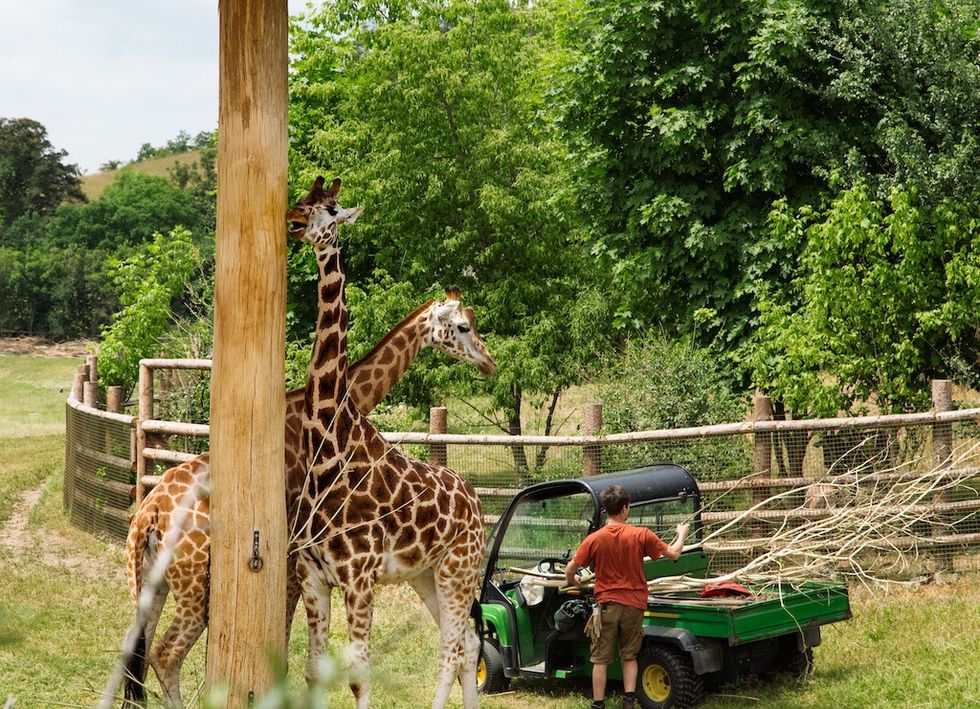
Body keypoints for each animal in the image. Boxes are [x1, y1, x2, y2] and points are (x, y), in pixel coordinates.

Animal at [124, 289, 496, 706]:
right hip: (195, 588)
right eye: (463, 326)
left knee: (138, 657)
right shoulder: (292, 561)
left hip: (150, 583)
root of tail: (148, 515)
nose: (489, 363)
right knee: (165, 654)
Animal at [287, 177, 485, 709]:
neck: (329, 445)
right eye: (302, 201)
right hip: (424, 574)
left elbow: (359, 674)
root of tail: (478, 502)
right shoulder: (313, 575)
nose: (292, 222)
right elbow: (313, 670)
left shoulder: (359, 576)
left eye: (330, 210)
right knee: (467, 641)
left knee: (454, 646)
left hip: (459, 568)